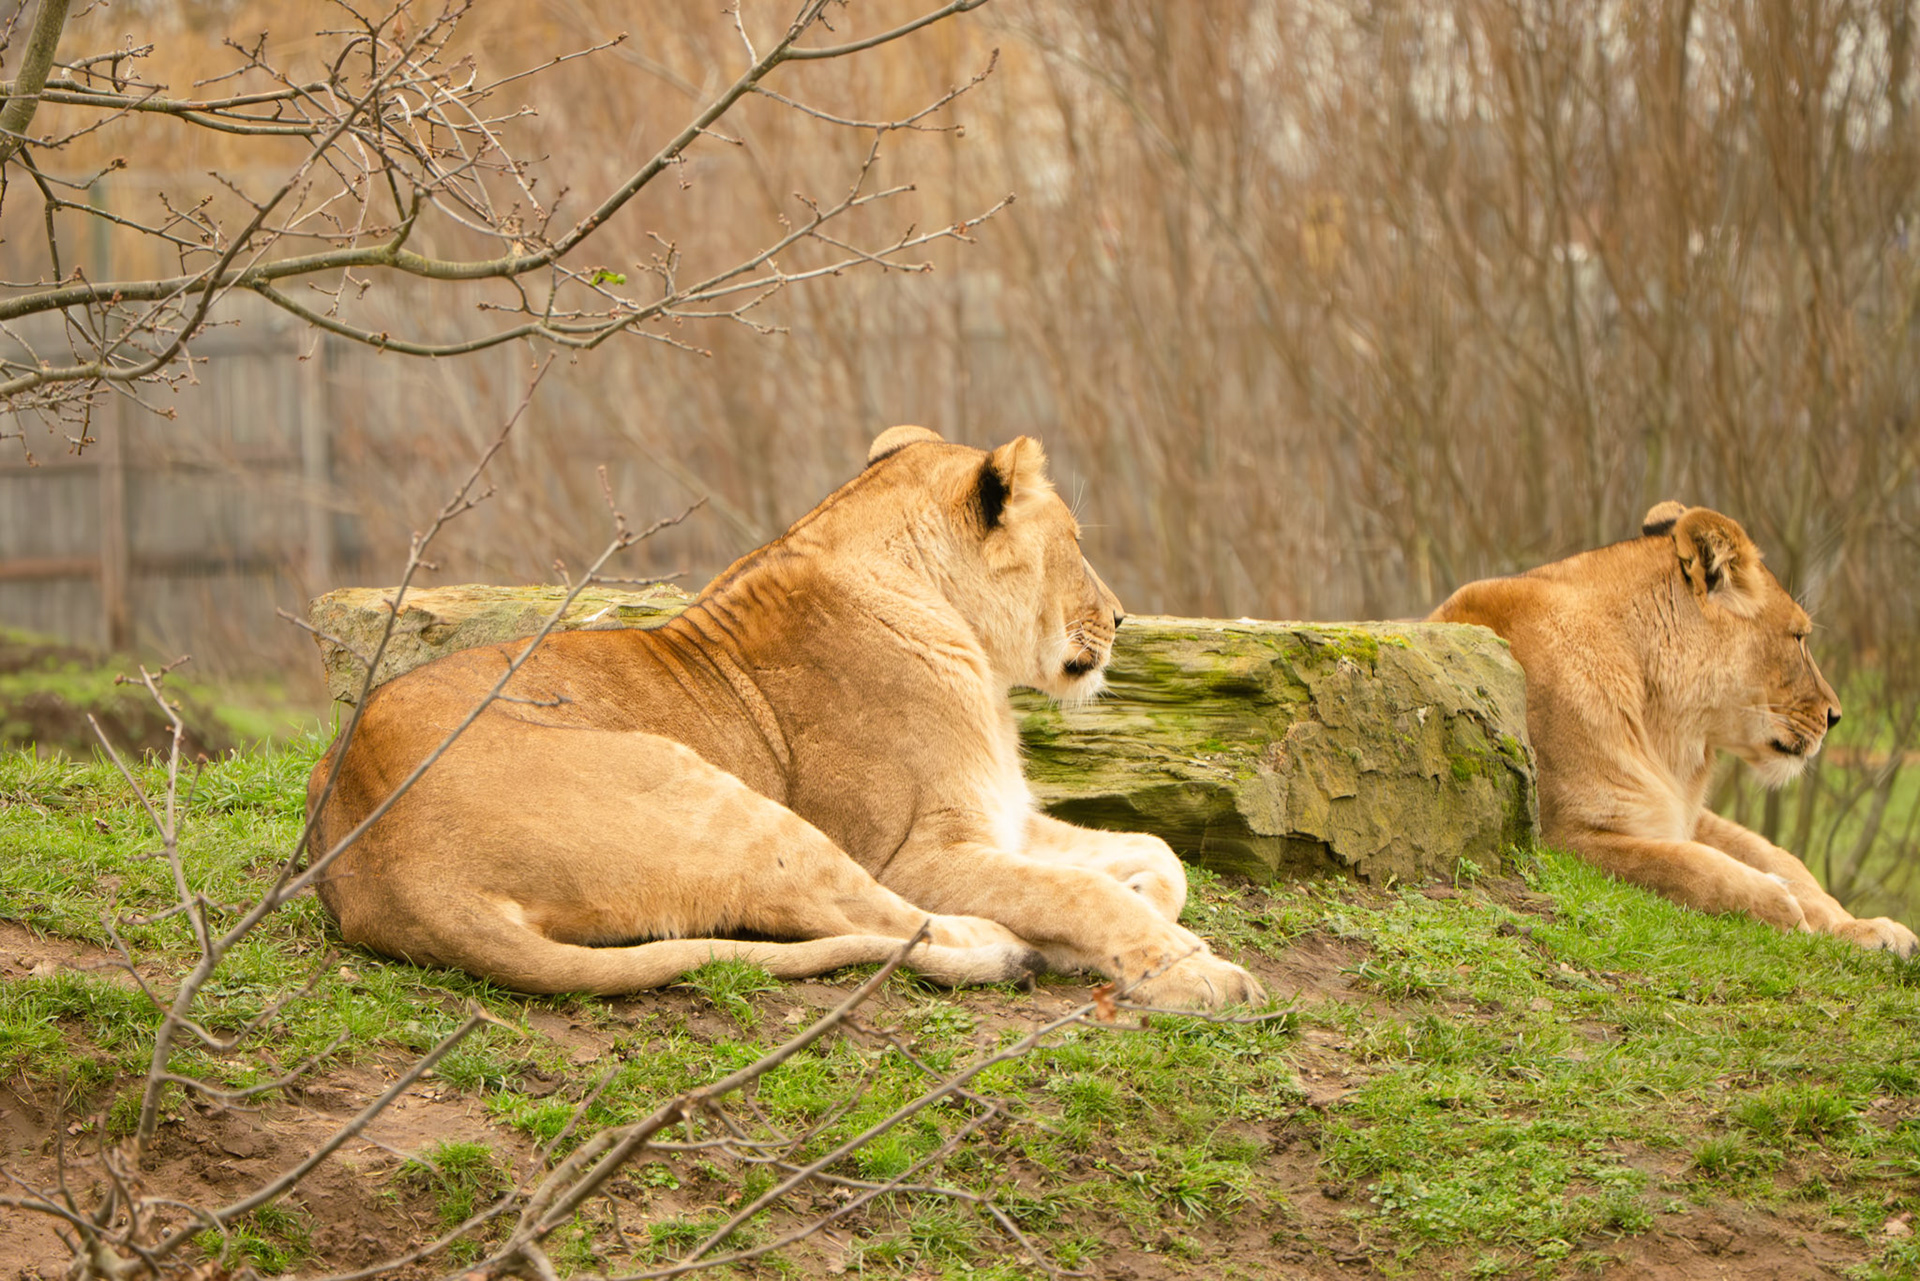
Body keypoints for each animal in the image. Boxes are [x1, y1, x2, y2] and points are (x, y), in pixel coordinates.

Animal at [305, 426, 1263, 1008]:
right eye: (1075, 541)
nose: (1123, 618)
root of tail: (390, 879)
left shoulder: (1005, 819)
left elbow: (1155, 852)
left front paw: (1154, 903)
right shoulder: (916, 851)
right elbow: (1076, 891)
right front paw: (1196, 971)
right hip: (722, 800)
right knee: (861, 914)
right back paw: (1009, 946)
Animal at [1430, 501, 1917, 956]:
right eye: (1798, 638)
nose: (1835, 716)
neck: (1662, 721)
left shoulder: (1680, 810)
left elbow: (1759, 858)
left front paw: (1861, 928)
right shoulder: (1561, 835)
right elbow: (1687, 868)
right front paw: (1782, 909)